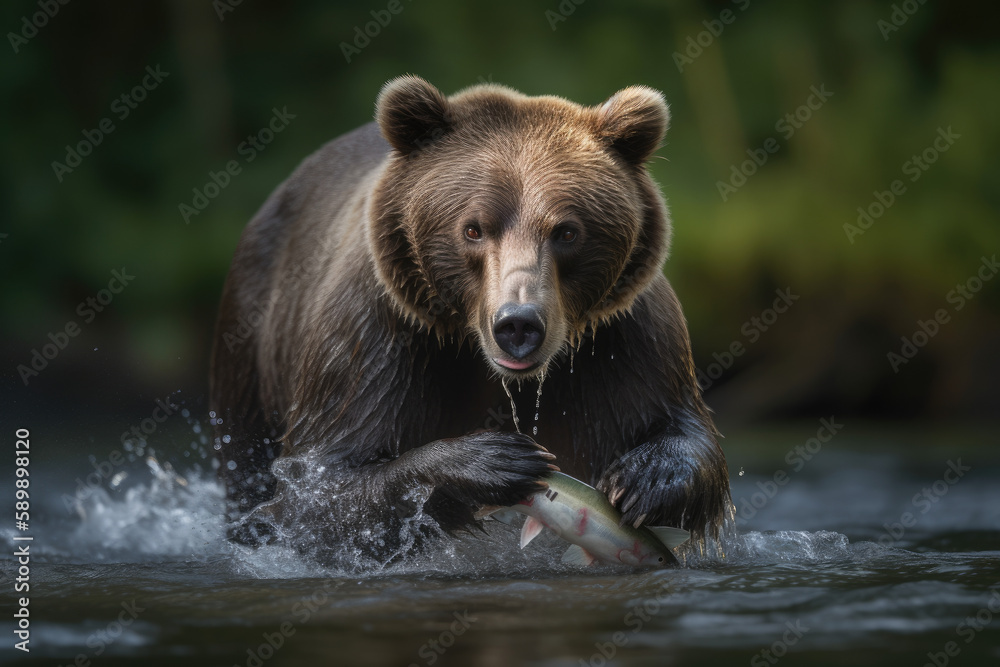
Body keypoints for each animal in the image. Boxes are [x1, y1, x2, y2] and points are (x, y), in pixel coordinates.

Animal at [207, 75, 732, 568]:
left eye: (566, 231)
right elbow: (321, 487)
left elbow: (678, 424)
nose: (518, 325)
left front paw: (646, 478)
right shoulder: (381, 334)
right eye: (473, 228)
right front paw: (496, 460)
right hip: (252, 340)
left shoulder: (619, 340)